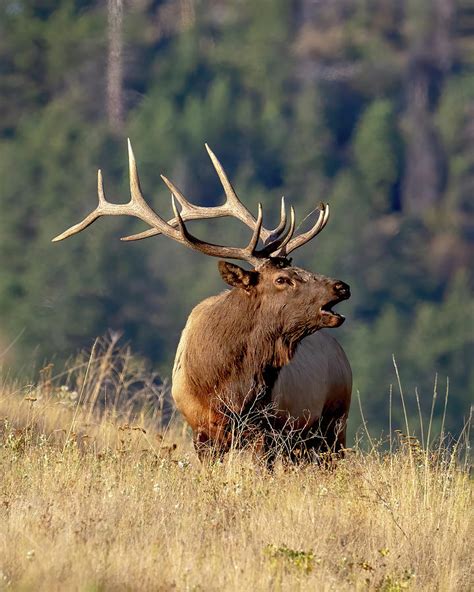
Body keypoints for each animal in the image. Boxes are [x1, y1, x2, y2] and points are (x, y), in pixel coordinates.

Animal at [54, 141, 352, 464]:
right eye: (282, 279)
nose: (341, 286)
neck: (230, 387)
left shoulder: (267, 429)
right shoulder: (202, 430)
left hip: (334, 425)